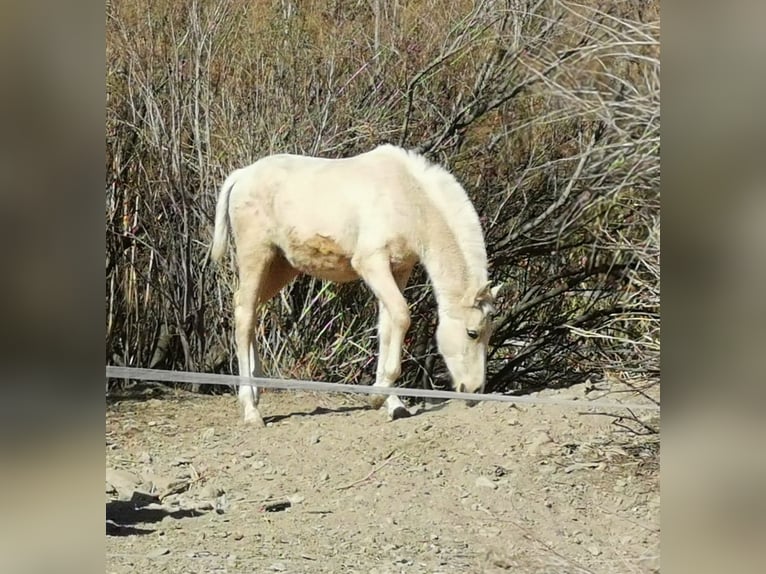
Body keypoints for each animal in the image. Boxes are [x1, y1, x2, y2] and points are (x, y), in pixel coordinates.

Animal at [210, 145, 500, 428]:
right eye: (472, 333)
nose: (475, 391)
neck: (408, 197)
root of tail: (242, 175)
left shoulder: (399, 269)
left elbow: (387, 326)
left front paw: (393, 404)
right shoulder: (371, 263)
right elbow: (402, 316)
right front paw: (377, 397)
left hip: (281, 266)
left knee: (249, 309)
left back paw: (258, 390)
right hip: (255, 255)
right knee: (244, 315)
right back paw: (251, 409)